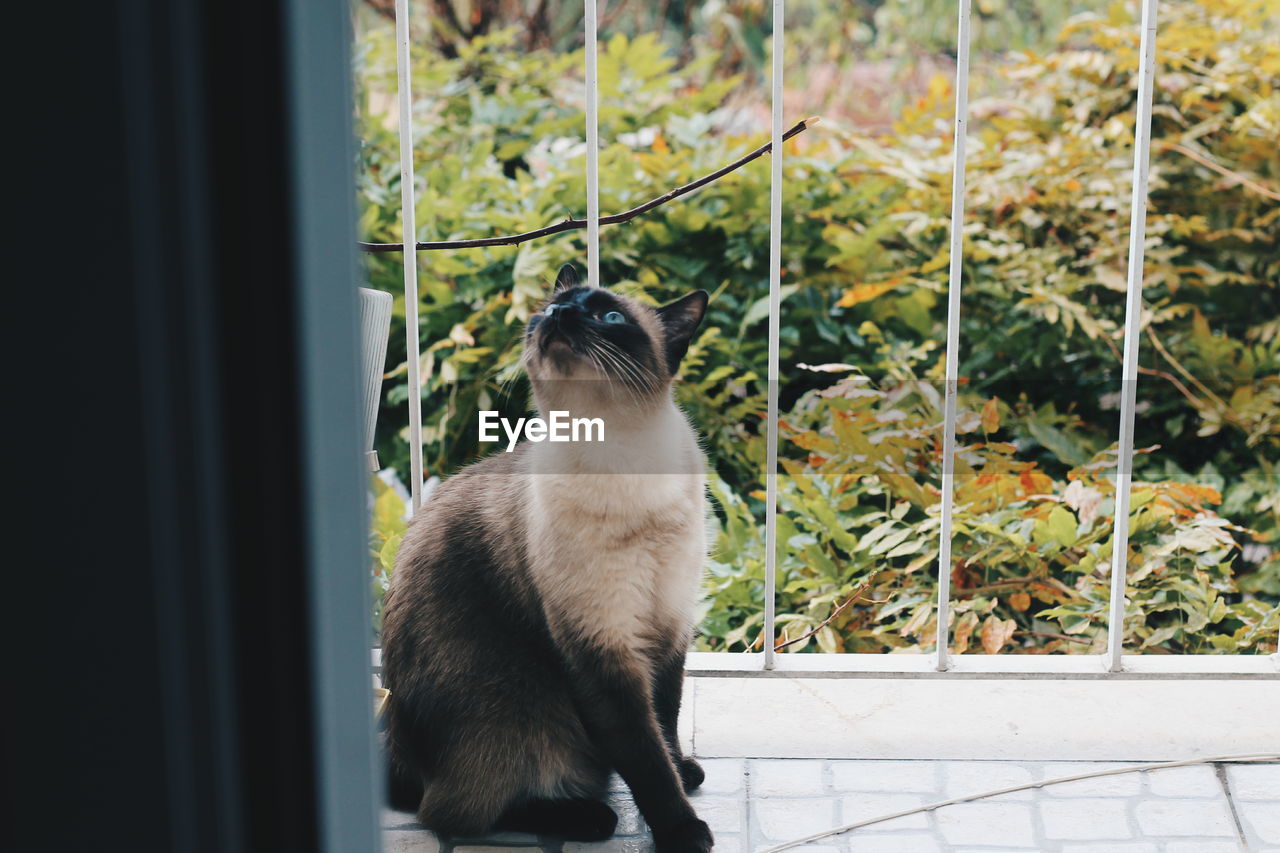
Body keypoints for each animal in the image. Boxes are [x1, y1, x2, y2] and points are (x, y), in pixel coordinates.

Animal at [378, 262, 721, 845]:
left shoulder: (669, 625)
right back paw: (589, 817)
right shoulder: (602, 650)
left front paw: (686, 772)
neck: (622, 459)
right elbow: (646, 758)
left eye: (610, 317)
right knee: (448, 812)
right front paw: (684, 831)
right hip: (513, 715)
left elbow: (667, 718)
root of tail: (399, 754)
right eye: (548, 310)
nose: (558, 313)